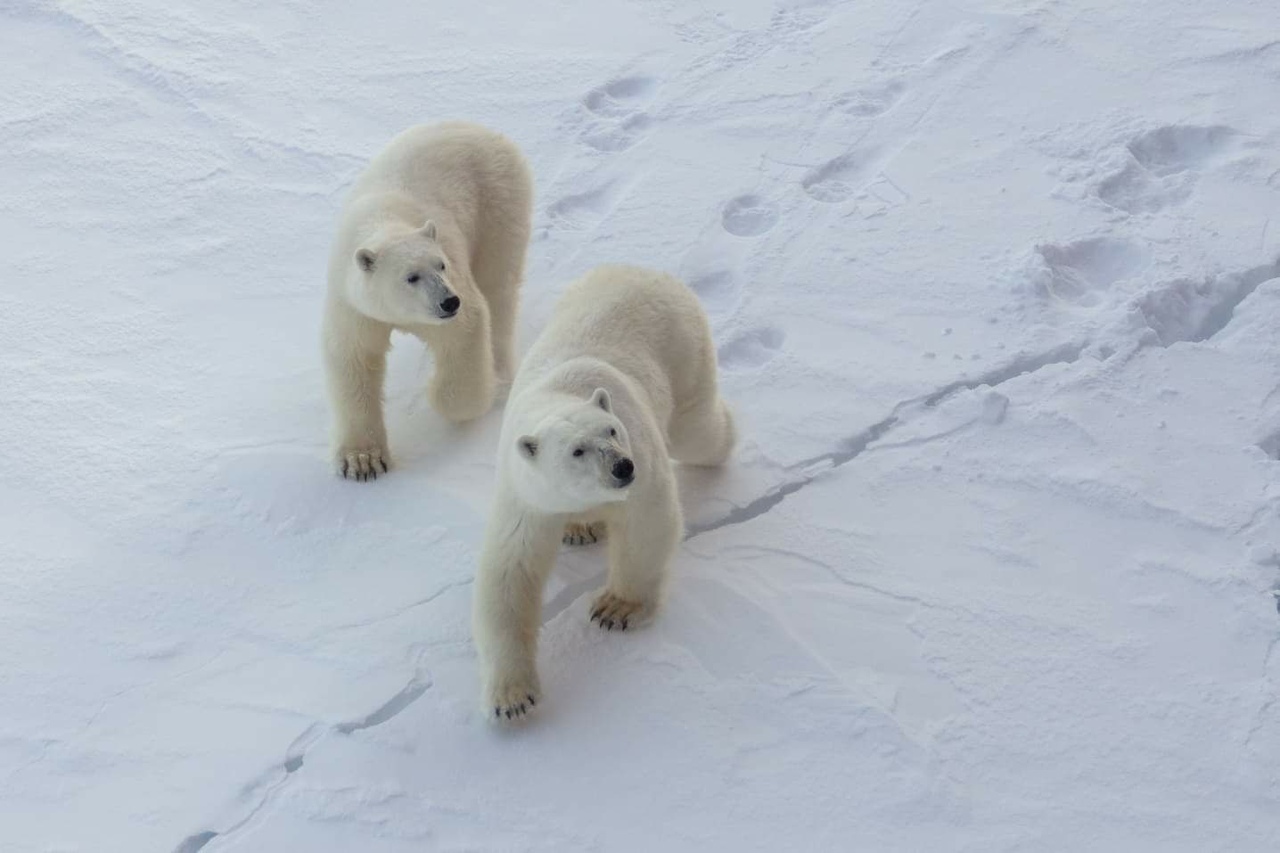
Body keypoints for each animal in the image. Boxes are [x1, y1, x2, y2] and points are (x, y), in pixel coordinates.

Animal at [327, 119, 537, 479]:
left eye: (441, 264)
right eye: (411, 276)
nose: (449, 302)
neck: (383, 220)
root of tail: (485, 130)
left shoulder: (453, 283)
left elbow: (465, 332)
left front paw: (442, 396)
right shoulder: (355, 305)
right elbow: (353, 358)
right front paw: (363, 462)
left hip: (499, 200)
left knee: (498, 287)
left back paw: (499, 375)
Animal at [471, 266, 737, 717]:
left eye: (611, 430)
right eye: (577, 450)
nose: (621, 467)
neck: (561, 393)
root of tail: (646, 272)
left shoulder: (641, 454)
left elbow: (647, 523)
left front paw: (616, 609)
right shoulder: (528, 494)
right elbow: (510, 571)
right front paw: (512, 699)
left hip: (684, 349)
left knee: (698, 431)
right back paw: (580, 529)